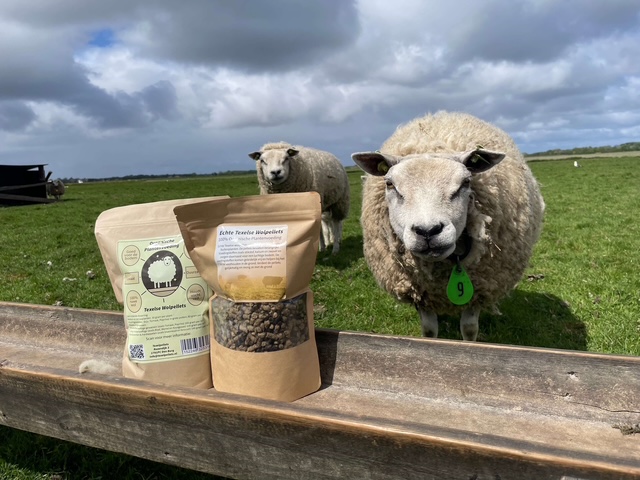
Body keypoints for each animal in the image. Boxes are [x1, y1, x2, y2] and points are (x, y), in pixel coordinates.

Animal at [352, 111, 545, 341]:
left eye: (466, 182)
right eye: (390, 184)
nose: (428, 231)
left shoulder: (478, 290)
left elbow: (469, 329)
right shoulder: (421, 294)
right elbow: (429, 330)